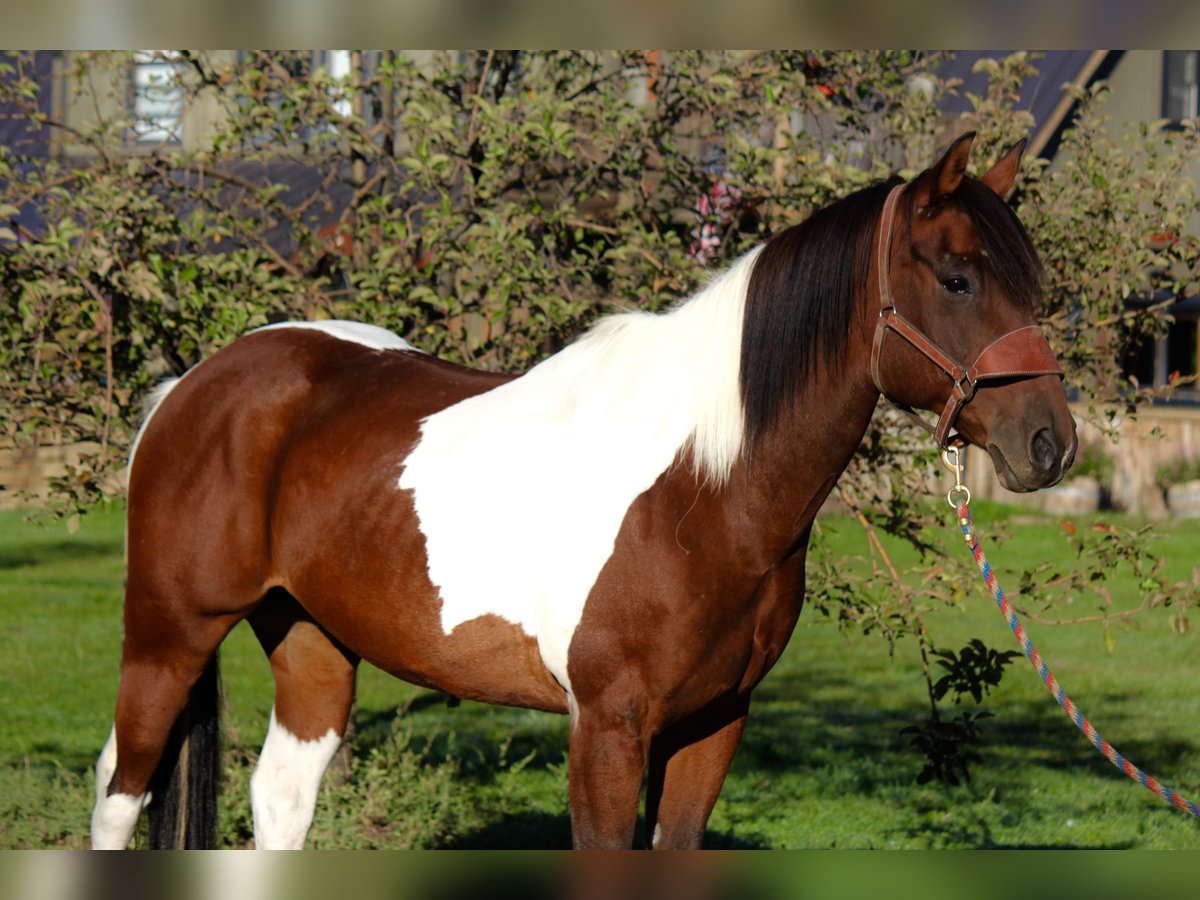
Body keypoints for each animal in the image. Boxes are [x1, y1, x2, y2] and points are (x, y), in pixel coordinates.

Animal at [90, 132, 1076, 850]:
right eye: (956, 279)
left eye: (1035, 286)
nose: (1051, 444)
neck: (704, 491)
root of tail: (191, 386)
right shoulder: (607, 725)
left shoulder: (714, 724)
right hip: (168, 636)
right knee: (118, 791)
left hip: (312, 637)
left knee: (280, 795)